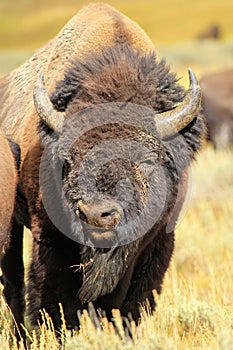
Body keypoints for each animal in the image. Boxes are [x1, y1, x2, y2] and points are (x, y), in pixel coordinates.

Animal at [0, 2, 205, 336]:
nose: (97, 215)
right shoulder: (50, 241)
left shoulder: (158, 244)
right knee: (13, 284)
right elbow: (57, 303)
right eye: (68, 159)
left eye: (146, 160)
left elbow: (129, 307)